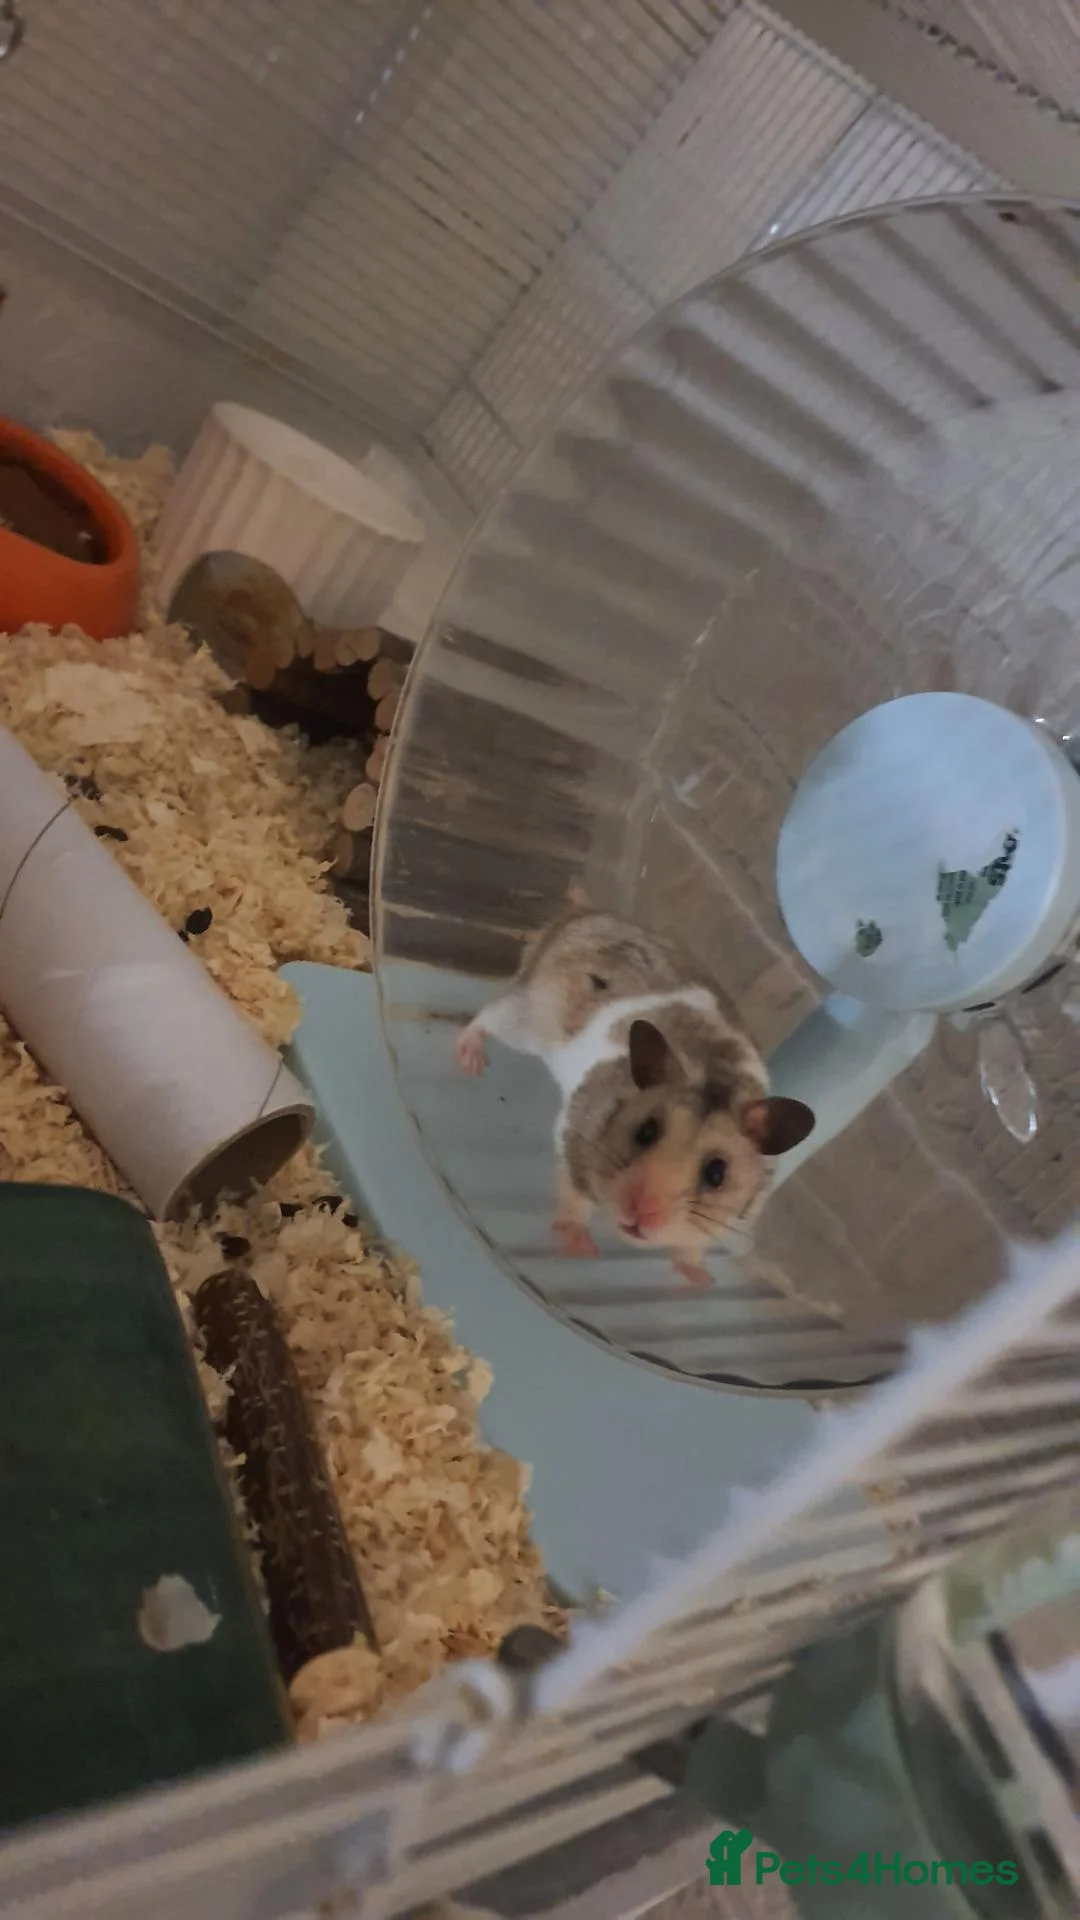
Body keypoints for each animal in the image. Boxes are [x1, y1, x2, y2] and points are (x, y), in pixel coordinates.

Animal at [454, 904, 814, 1285]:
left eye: (717, 1174)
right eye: (646, 1132)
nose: (639, 1216)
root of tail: (584, 916)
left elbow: (693, 1246)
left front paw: (700, 1279)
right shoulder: (576, 1139)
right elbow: (575, 1199)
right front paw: (581, 1249)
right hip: (529, 1017)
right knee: (486, 1017)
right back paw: (471, 1059)